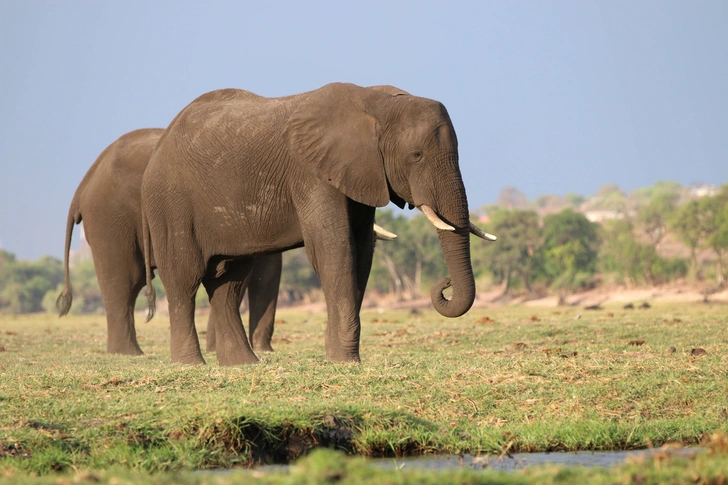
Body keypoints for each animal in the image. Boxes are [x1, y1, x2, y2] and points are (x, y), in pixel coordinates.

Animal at [141, 82, 494, 364]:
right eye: (416, 155)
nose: (444, 285)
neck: (377, 104)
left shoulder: (360, 174)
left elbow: (361, 251)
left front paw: (340, 356)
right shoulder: (311, 174)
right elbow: (334, 249)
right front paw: (345, 361)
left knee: (229, 282)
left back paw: (244, 364)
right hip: (171, 204)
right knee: (184, 279)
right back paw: (190, 364)